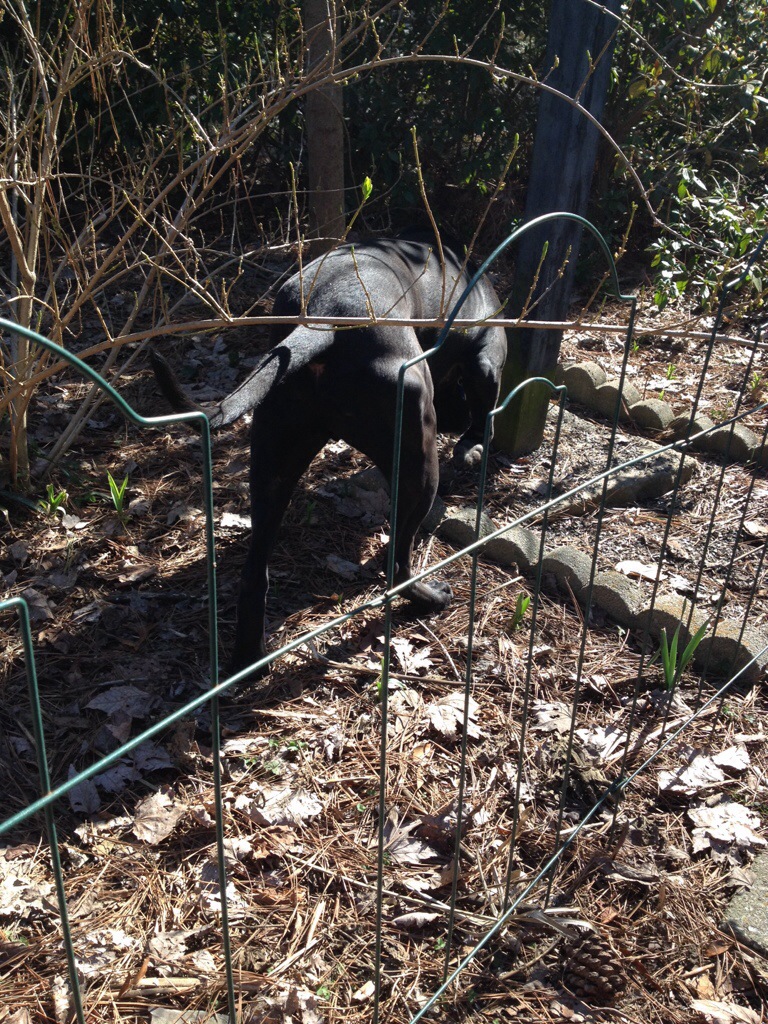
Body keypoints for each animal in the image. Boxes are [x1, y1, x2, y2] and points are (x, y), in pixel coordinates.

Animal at [150, 237, 507, 672]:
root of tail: (325, 319)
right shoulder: (487, 358)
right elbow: (485, 409)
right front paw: (473, 444)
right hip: (420, 464)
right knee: (397, 565)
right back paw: (430, 598)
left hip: (274, 461)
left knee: (254, 574)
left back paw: (250, 660)